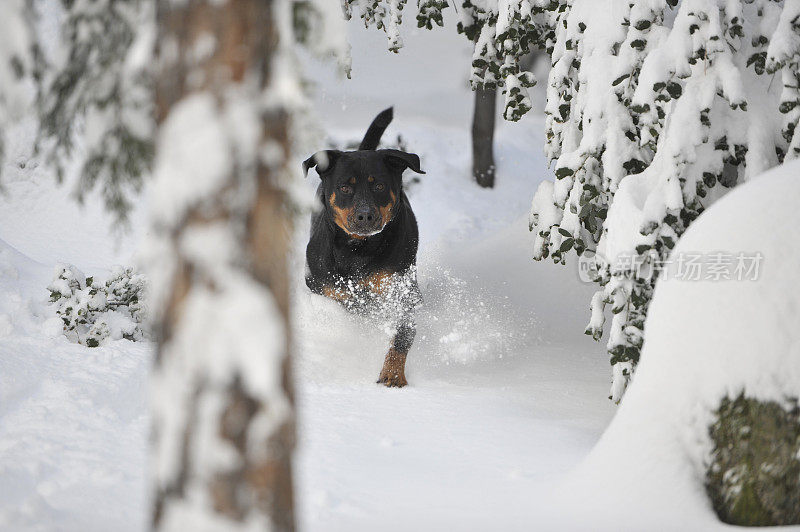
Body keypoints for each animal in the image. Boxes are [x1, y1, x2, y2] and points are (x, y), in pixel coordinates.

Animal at [302, 108, 424, 386]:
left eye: (379, 185)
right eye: (345, 187)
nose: (365, 215)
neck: (358, 250)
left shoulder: (403, 291)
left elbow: (402, 335)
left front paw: (393, 373)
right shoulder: (325, 288)